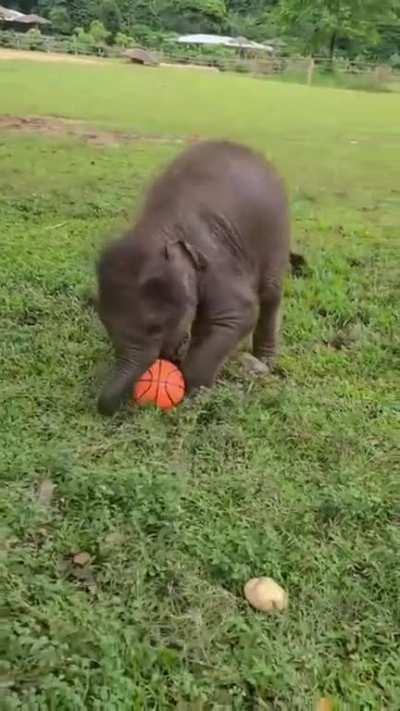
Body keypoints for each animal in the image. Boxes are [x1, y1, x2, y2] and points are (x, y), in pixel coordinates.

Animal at [96, 140, 291, 415]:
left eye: (155, 327)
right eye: (106, 324)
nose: (102, 407)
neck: (160, 228)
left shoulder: (217, 263)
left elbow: (238, 314)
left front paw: (195, 392)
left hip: (277, 233)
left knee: (270, 295)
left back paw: (264, 360)